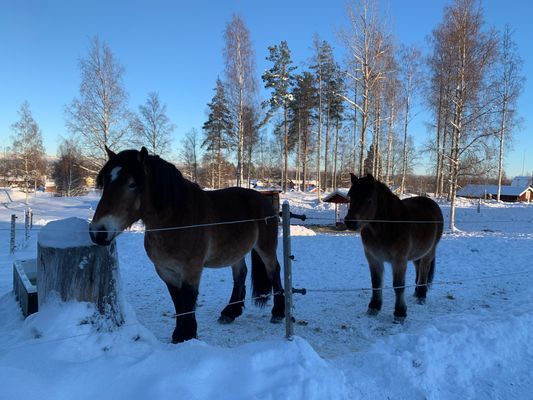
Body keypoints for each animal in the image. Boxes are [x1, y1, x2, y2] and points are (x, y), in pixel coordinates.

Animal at [89, 148, 284, 342]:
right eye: (106, 182)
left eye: (132, 184)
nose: (98, 232)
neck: (177, 220)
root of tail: (262, 199)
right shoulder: (165, 271)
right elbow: (178, 302)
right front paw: (179, 334)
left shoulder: (191, 270)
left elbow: (188, 300)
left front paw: (187, 334)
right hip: (235, 251)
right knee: (240, 275)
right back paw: (230, 312)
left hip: (266, 247)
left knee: (274, 271)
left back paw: (278, 313)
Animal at [342, 174, 442, 322]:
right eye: (350, 197)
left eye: (369, 199)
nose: (350, 222)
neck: (388, 227)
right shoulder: (373, 258)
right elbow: (376, 282)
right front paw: (374, 307)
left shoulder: (399, 261)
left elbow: (398, 286)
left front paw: (400, 313)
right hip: (417, 254)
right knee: (418, 269)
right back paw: (416, 292)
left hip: (429, 252)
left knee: (424, 271)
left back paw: (421, 295)